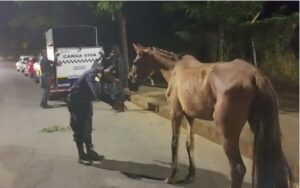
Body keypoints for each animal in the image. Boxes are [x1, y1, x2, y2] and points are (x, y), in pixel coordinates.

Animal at [127, 43, 292, 187]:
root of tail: (255, 74)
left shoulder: (176, 113)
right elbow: (189, 144)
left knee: (238, 169)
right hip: (260, 126)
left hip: (227, 134)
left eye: (135, 62)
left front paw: (172, 176)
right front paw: (190, 175)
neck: (175, 69)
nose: (130, 83)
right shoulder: (190, 116)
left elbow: (175, 143)